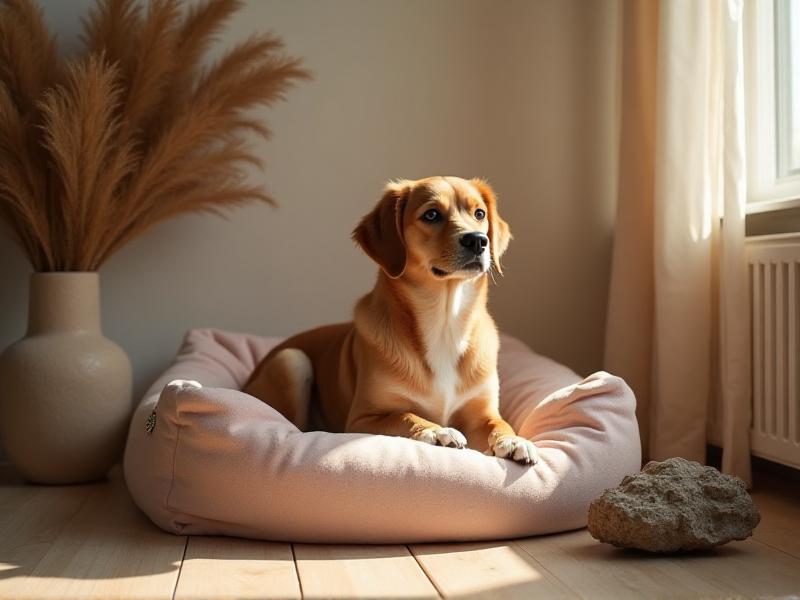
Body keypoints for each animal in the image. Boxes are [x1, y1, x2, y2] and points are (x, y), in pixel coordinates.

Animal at [245, 173, 536, 464]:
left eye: (479, 214)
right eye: (431, 214)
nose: (478, 240)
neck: (445, 322)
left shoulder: (482, 413)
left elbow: (500, 423)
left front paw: (514, 440)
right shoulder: (362, 418)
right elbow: (405, 415)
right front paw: (437, 431)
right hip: (291, 360)